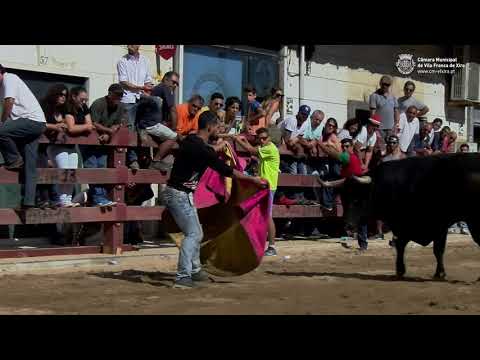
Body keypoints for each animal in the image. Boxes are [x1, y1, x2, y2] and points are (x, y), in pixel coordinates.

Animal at [344, 152, 480, 278]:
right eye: (345, 199)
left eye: (357, 200)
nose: (348, 226)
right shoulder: (403, 226)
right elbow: (400, 245)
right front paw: (401, 270)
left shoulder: (438, 225)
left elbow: (438, 250)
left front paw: (439, 273)